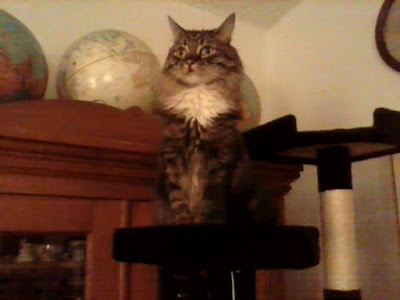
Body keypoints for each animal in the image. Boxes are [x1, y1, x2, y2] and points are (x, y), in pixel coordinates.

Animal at [154, 14, 250, 225]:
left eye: (206, 50)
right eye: (181, 51)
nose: (189, 61)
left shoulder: (220, 161)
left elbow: (207, 204)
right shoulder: (172, 157)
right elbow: (178, 201)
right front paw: (183, 222)